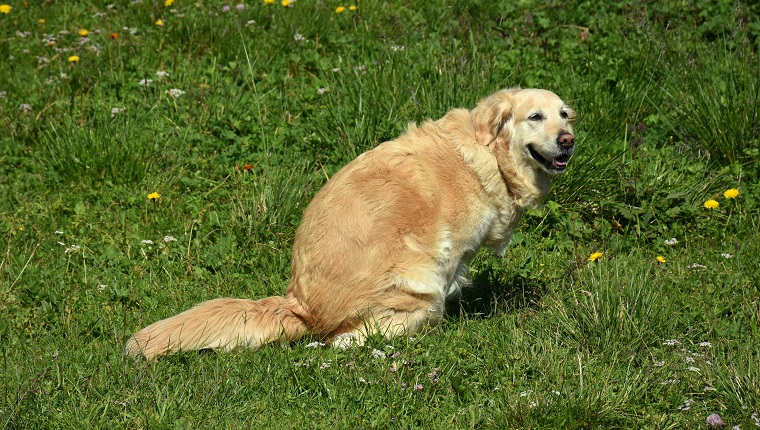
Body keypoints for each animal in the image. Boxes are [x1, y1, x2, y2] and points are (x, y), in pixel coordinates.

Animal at [126, 87, 576, 360]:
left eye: (565, 115)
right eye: (535, 117)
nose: (568, 141)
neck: (490, 155)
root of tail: (300, 305)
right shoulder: (448, 256)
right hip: (419, 282)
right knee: (351, 337)